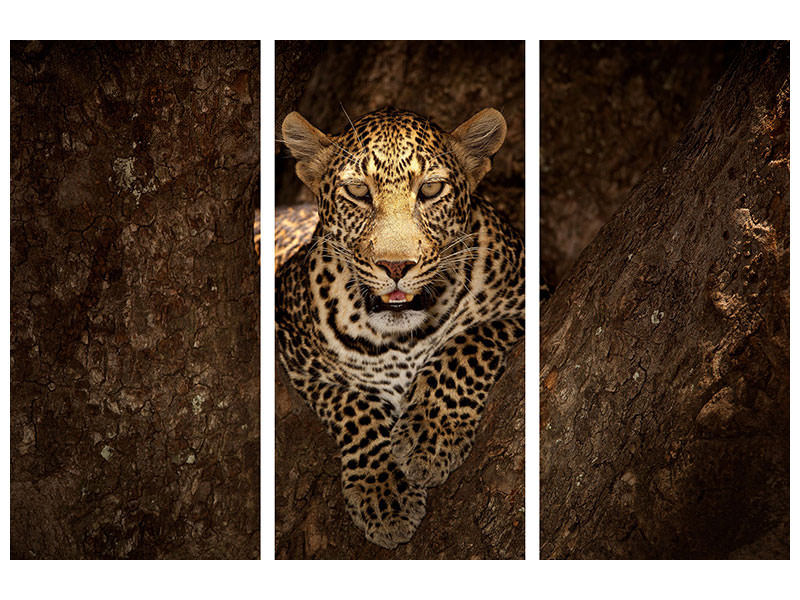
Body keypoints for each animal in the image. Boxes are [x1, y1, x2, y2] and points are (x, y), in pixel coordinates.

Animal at [276, 106, 524, 548]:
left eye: (431, 190)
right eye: (358, 191)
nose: (395, 267)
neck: (402, 338)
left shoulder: (529, 301)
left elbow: (467, 343)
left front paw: (430, 436)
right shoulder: (294, 353)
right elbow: (353, 404)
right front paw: (384, 494)